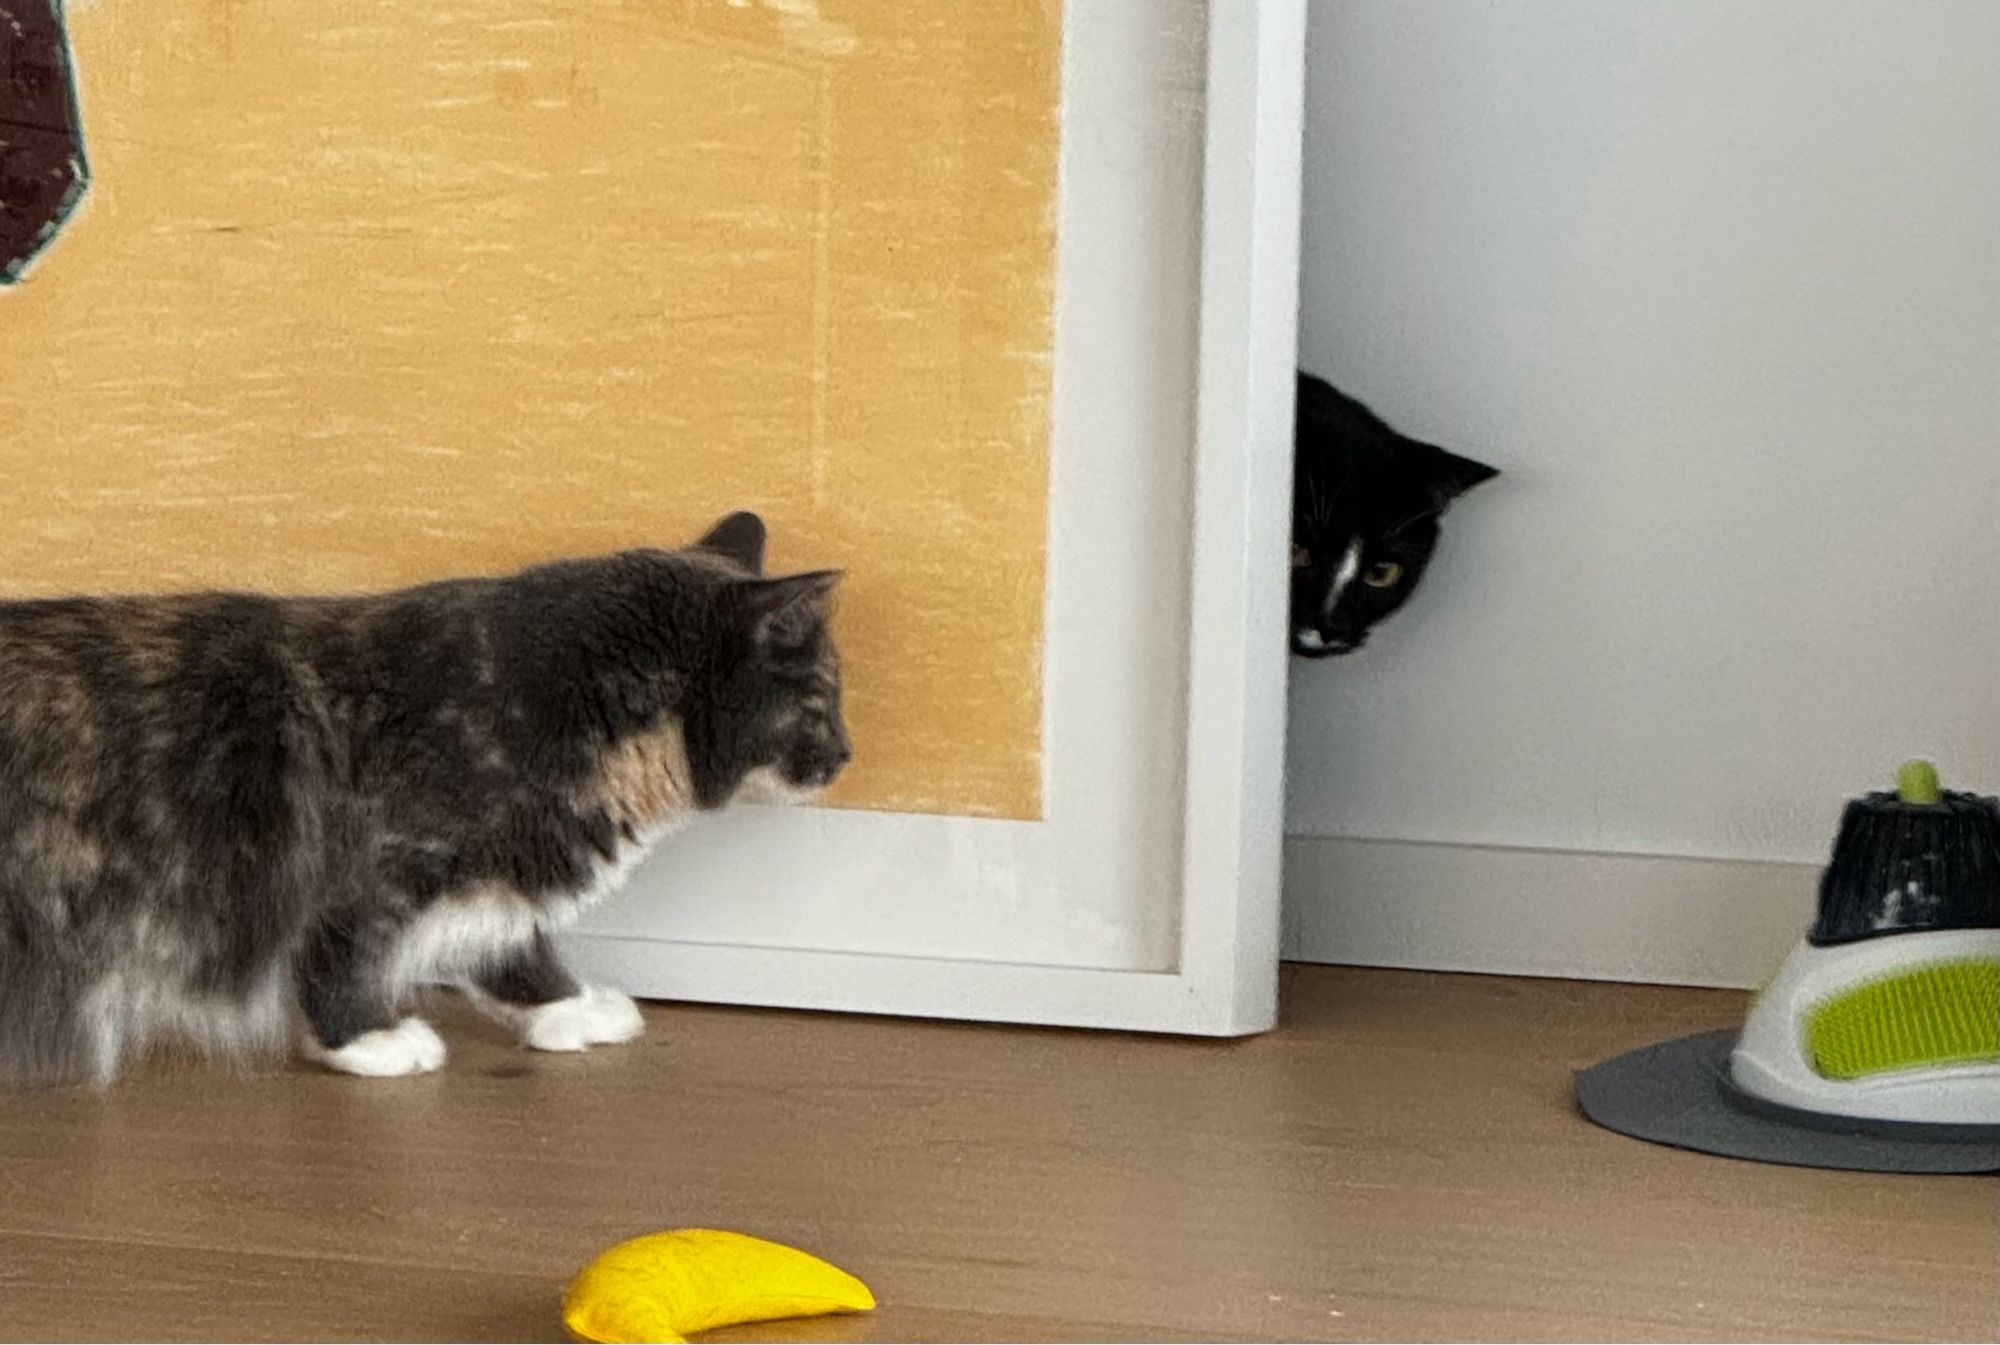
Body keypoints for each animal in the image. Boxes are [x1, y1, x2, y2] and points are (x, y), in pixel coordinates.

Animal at [0, 510, 844, 1088]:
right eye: (824, 700)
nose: (847, 754)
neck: (544, 706)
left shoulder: (499, 872)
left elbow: (514, 947)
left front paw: (568, 1008)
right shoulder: (375, 872)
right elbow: (343, 956)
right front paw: (368, 1041)